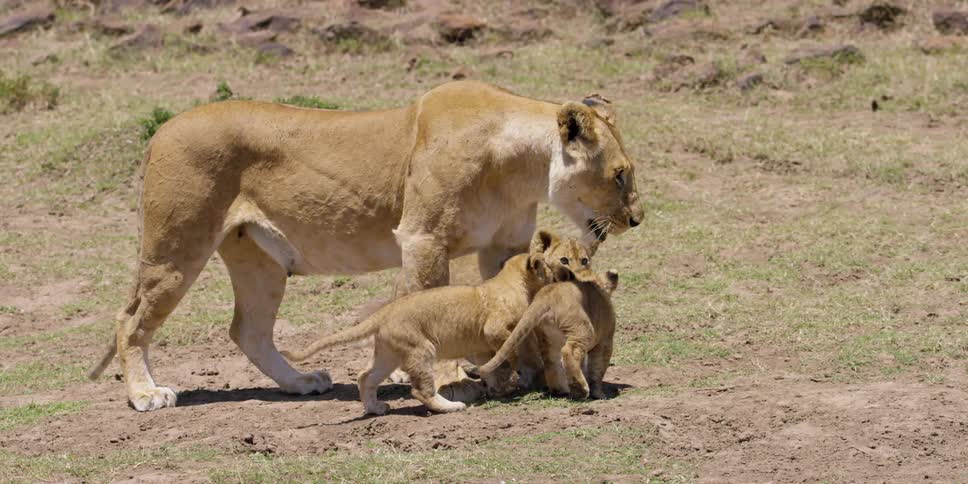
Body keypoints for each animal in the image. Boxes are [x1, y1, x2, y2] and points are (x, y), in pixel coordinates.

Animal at [280, 230, 587, 414]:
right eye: (555, 263)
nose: (565, 275)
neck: (511, 280)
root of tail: (385, 312)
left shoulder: (480, 344)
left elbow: (488, 363)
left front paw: (495, 386)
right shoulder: (495, 329)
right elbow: (506, 353)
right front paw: (507, 377)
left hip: (389, 354)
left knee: (366, 376)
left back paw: (376, 408)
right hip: (420, 349)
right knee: (420, 390)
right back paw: (451, 406)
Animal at [478, 267, 619, 400]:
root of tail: (544, 297)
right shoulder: (605, 340)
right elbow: (598, 368)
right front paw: (599, 394)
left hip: (547, 336)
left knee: (552, 361)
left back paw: (560, 390)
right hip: (583, 328)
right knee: (568, 351)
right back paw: (580, 388)